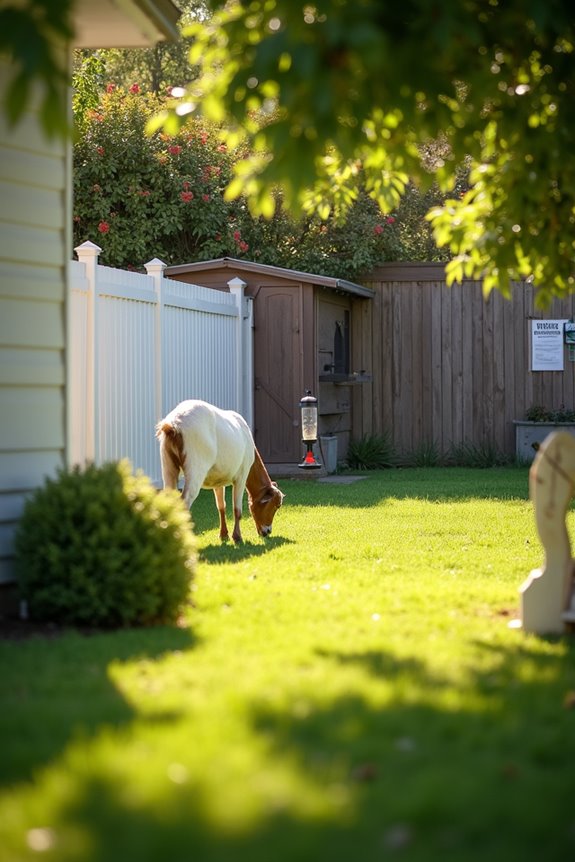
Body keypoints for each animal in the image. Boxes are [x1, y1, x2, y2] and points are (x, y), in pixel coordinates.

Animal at [156, 399, 284, 543]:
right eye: (276, 505)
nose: (267, 531)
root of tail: (174, 423)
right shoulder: (242, 475)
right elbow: (237, 509)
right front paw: (237, 537)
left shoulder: (218, 481)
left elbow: (221, 507)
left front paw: (223, 534)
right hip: (196, 466)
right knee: (185, 501)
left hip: (168, 465)